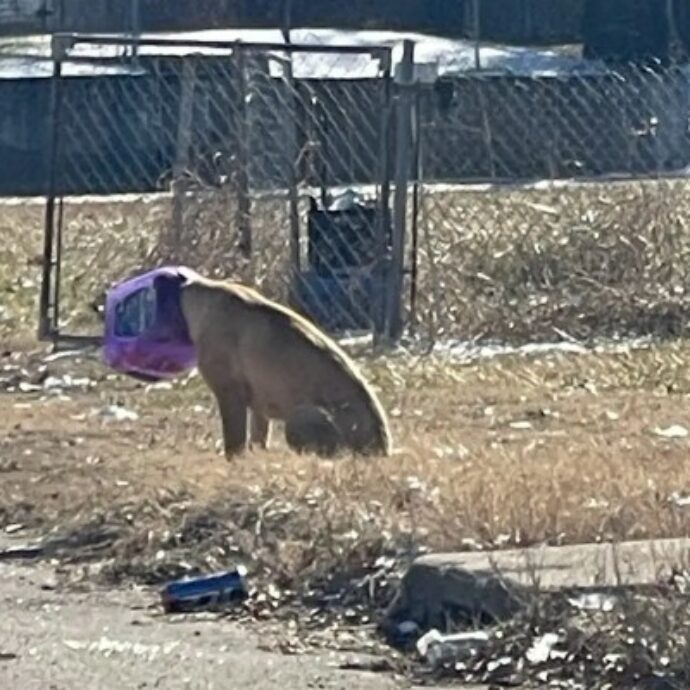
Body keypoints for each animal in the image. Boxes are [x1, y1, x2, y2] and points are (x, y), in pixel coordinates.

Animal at [179, 272, 392, 456]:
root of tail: (383, 449)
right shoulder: (258, 404)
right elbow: (257, 438)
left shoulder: (229, 394)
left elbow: (234, 443)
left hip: (298, 419)